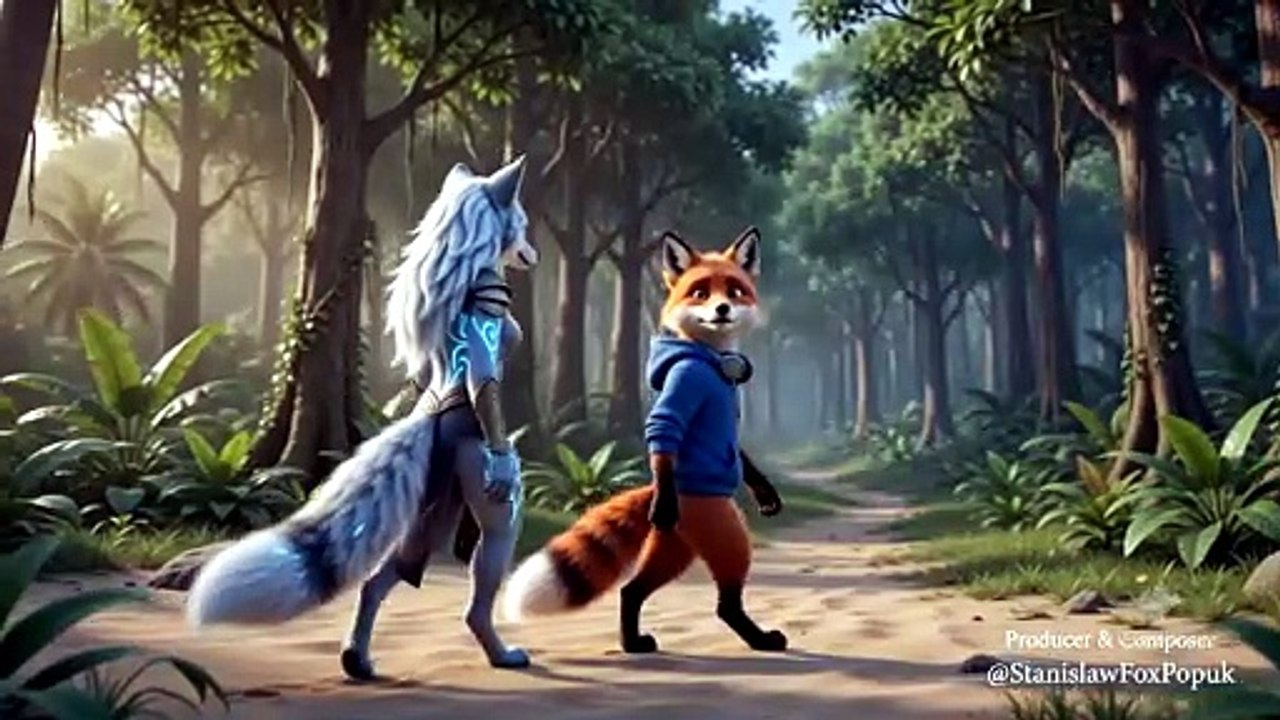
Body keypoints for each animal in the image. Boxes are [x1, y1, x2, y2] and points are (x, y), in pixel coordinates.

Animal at [501, 226, 788, 654]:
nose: (722, 310)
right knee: (720, 596)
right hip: (721, 529)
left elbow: (740, 452)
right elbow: (665, 426)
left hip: (675, 546)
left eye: (735, 291)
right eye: (700, 292)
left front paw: (763, 488)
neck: (711, 360)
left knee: (632, 590)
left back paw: (632, 640)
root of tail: (655, 490)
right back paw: (755, 637)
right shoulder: (683, 386)